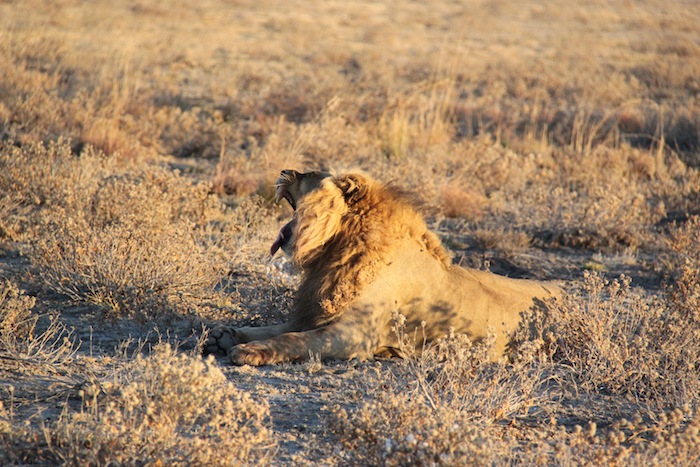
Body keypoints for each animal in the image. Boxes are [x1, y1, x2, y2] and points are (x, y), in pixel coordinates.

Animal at [205, 170, 560, 368]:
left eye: (307, 174)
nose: (285, 170)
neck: (339, 247)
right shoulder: (314, 313)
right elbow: (274, 328)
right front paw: (225, 335)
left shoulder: (353, 335)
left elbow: (293, 340)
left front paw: (248, 351)